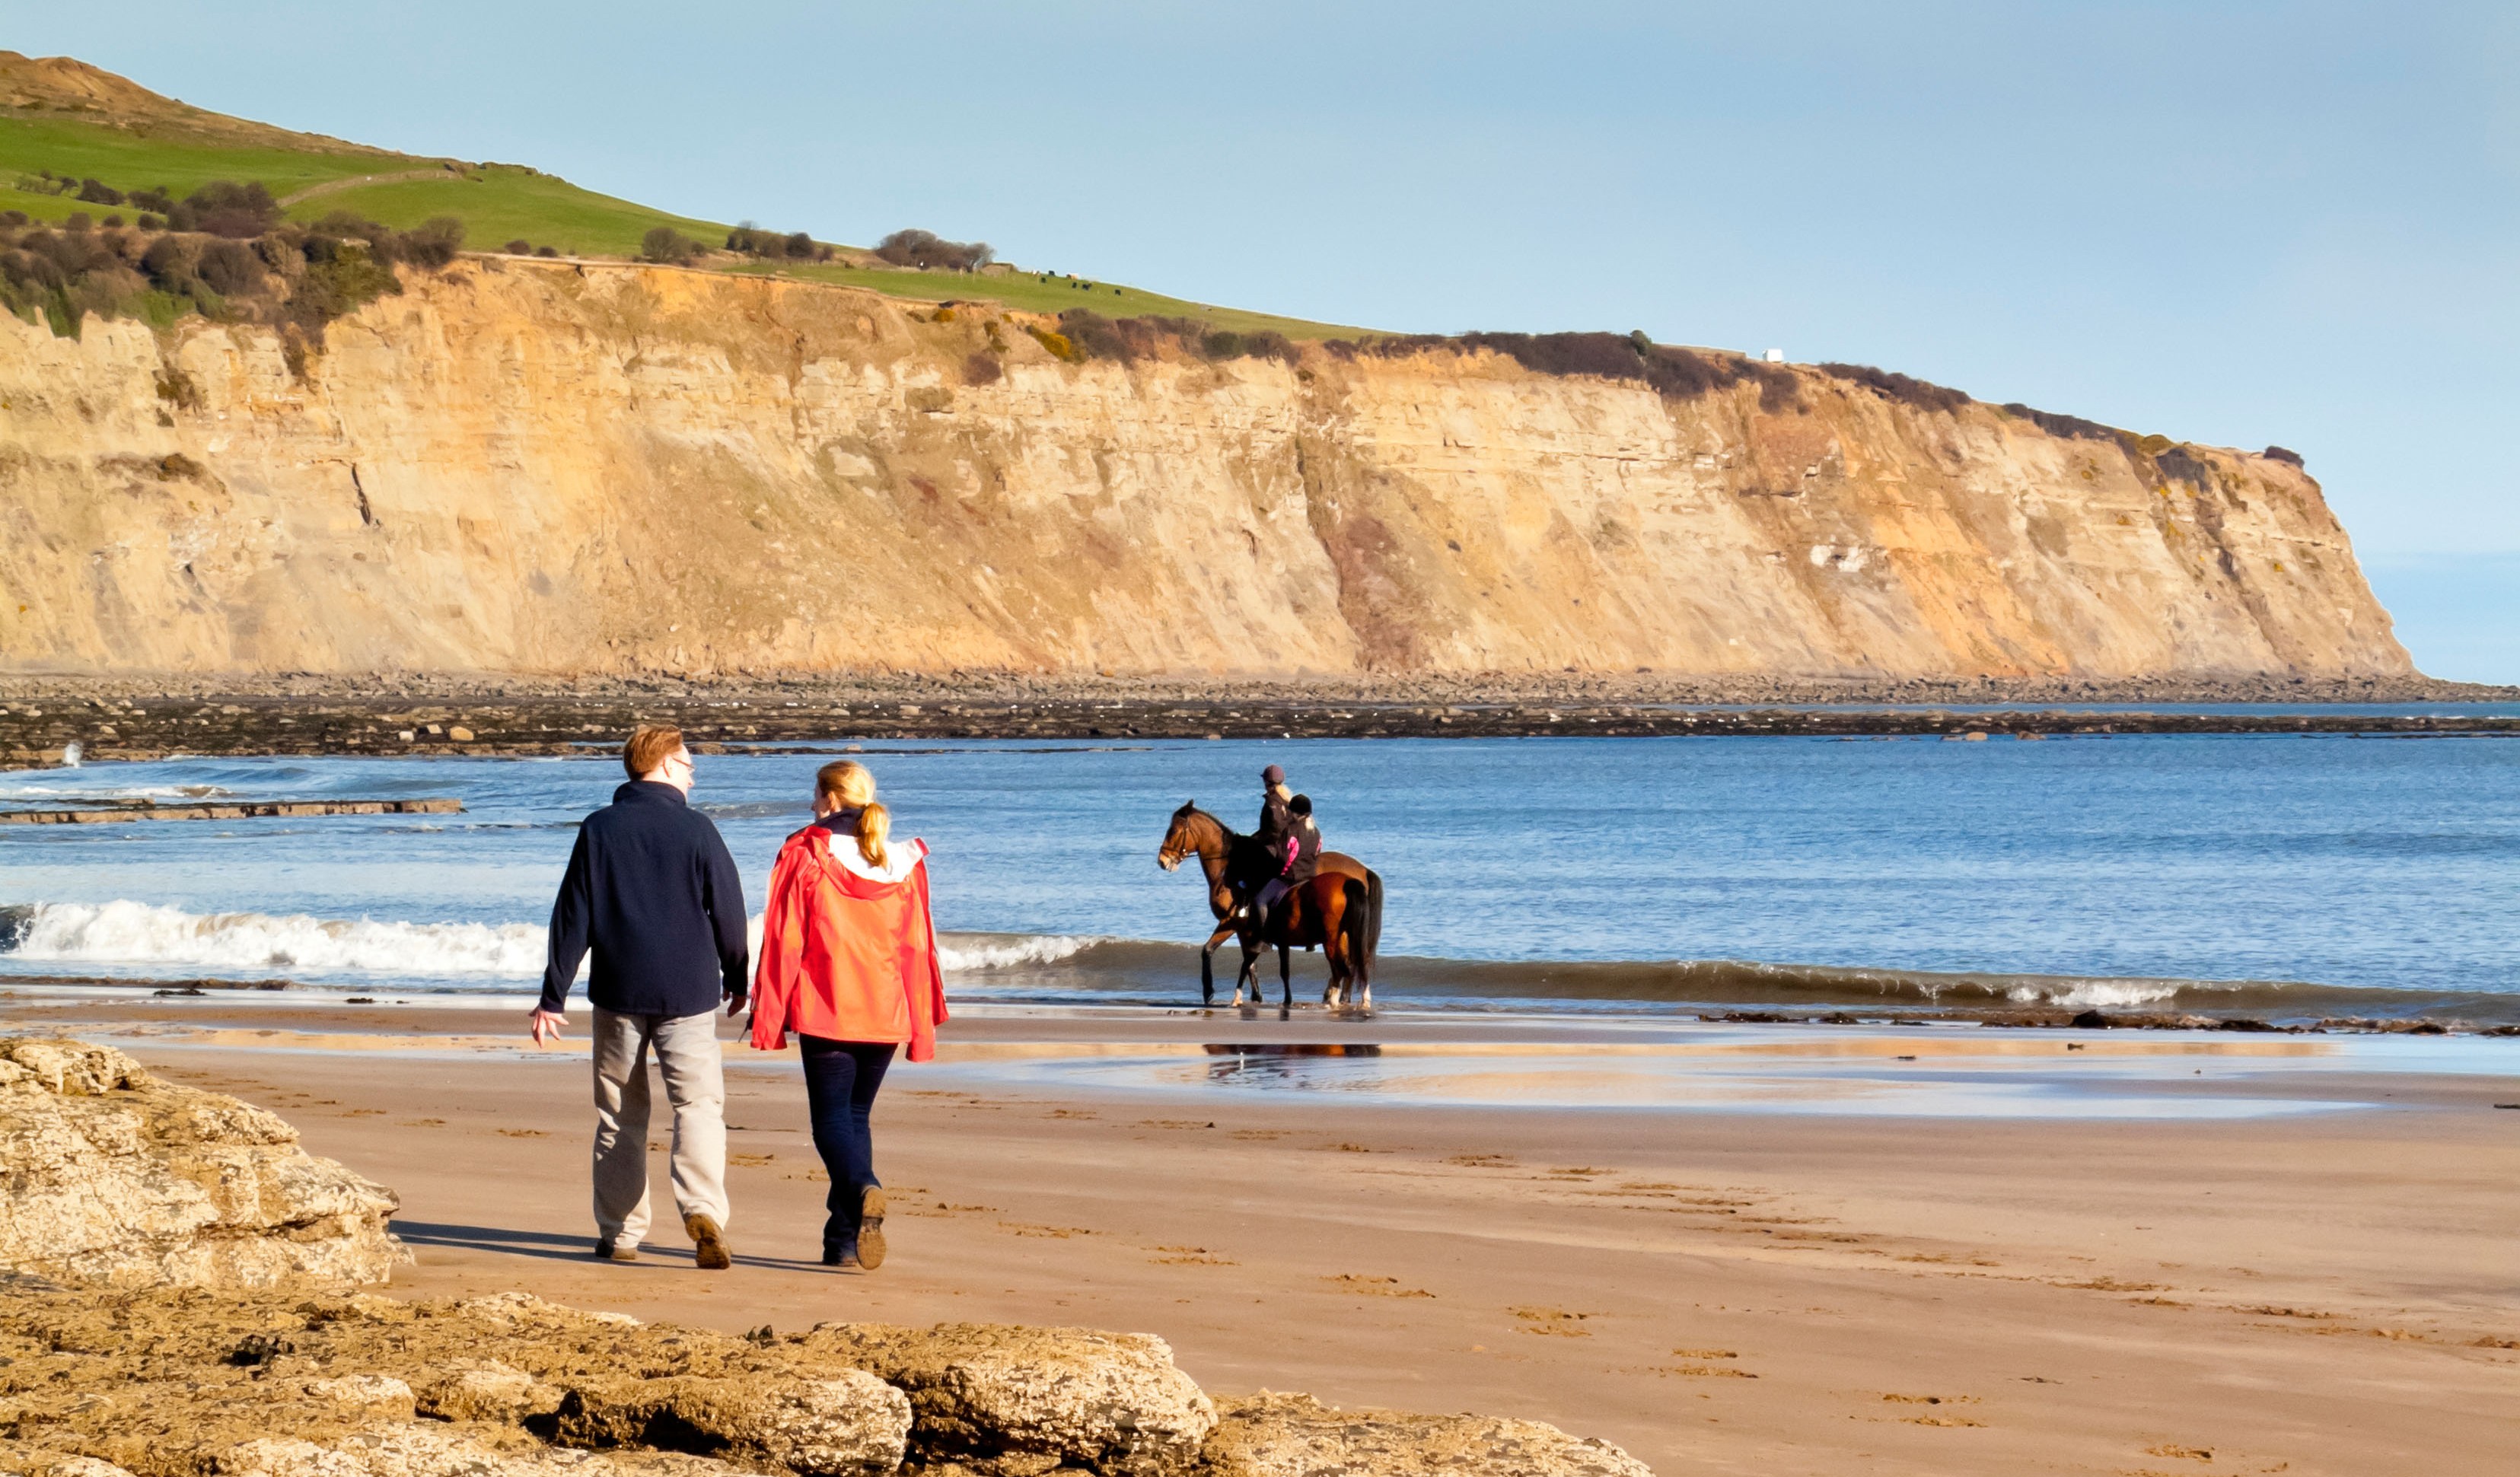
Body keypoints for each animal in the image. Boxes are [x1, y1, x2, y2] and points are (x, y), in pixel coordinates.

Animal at [1154, 801, 1391, 1007]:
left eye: (1173, 831)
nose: (1162, 861)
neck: (1234, 868)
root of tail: (1362, 871)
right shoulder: (1246, 929)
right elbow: (1246, 960)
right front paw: (1255, 996)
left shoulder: (1233, 922)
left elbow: (1217, 952)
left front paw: (1212, 991)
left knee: (1347, 964)